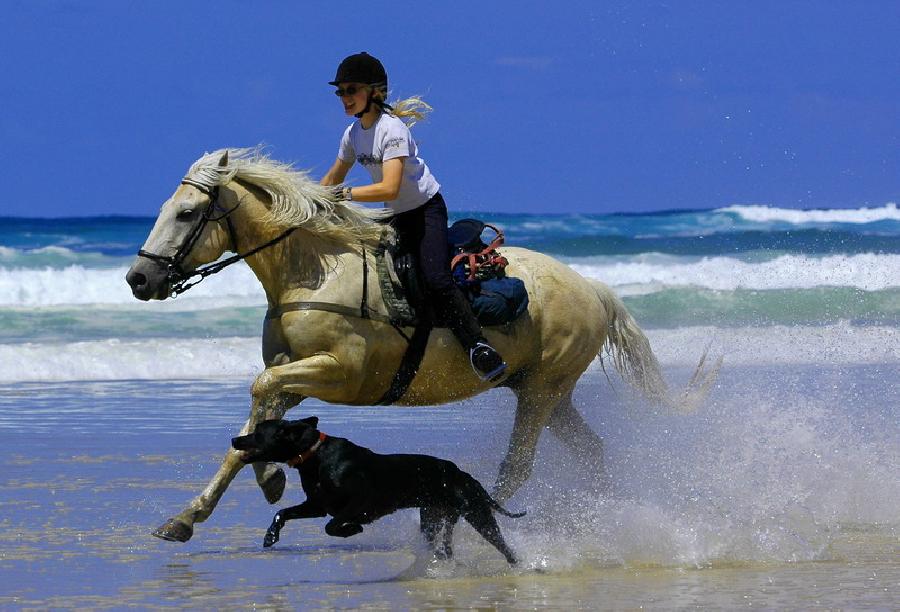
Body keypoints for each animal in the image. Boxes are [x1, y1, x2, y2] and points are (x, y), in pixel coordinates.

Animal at [125, 147, 716, 540]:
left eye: (185, 213)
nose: (138, 279)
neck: (312, 274)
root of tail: (592, 286)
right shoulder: (298, 375)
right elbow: (250, 428)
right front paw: (190, 516)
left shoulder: (337, 372)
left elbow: (259, 389)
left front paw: (270, 479)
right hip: (546, 391)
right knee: (591, 451)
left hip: (541, 391)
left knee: (517, 468)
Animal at [230, 416, 528, 564]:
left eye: (258, 432)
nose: (234, 439)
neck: (314, 456)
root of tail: (464, 476)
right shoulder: (317, 505)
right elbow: (283, 512)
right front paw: (270, 535)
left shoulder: (359, 500)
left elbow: (332, 525)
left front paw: (352, 529)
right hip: (432, 518)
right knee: (441, 543)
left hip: (477, 514)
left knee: (504, 547)